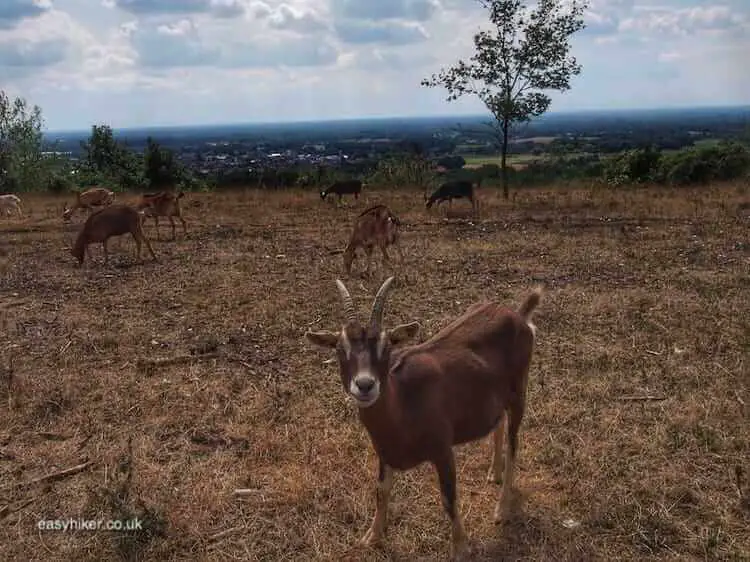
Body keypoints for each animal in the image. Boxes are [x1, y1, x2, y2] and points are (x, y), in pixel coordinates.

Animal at [308, 276, 544, 560]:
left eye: (387, 347)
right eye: (339, 348)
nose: (365, 385)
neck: (404, 405)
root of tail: (518, 315)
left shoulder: (442, 450)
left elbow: (449, 497)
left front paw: (460, 547)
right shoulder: (384, 451)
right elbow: (381, 490)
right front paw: (372, 536)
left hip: (519, 391)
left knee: (514, 443)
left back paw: (502, 510)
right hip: (496, 398)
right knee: (498, 425)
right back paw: (493, 473)